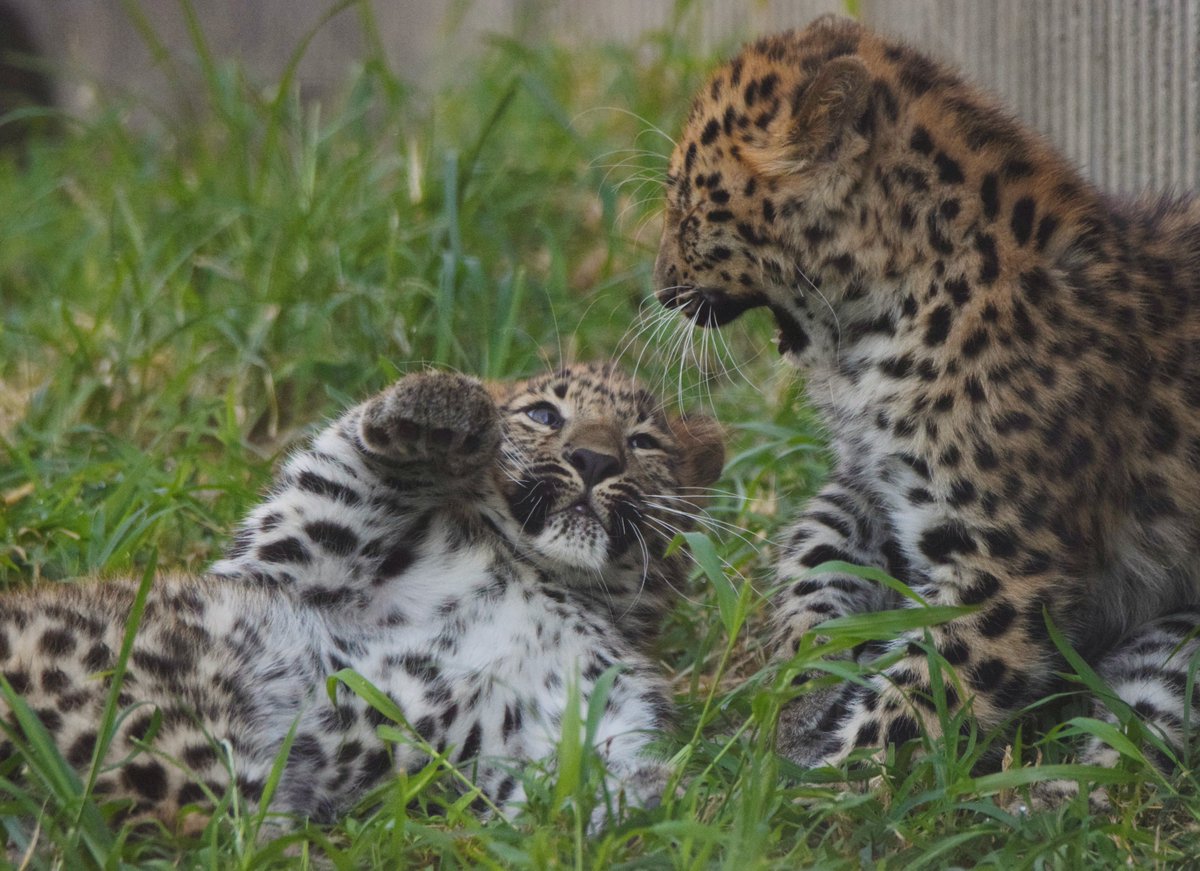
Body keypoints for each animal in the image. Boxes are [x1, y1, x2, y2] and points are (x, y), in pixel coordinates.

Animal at [0, 364, 724, 831]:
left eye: (642, 442)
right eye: (544, 414)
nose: (594, 460)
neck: (541, 575)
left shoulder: (543, 734)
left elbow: (559, 789)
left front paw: (654, 793)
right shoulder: (281, 561)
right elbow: (341, 471)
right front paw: (439, 407)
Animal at [652, 13, 1200, 800]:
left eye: (684, 202)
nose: (658, 284)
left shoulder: (1001, 571)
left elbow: (913, 707)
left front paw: (785, 794)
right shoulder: (869, 484)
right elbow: (816, 553)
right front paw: (800, 685)